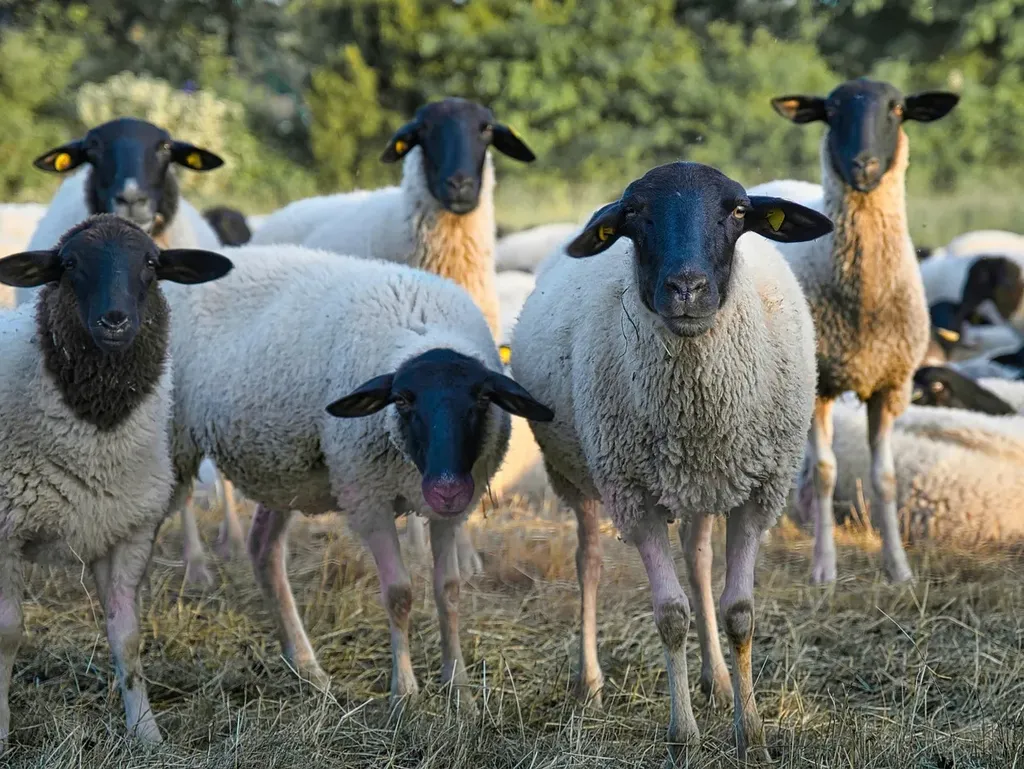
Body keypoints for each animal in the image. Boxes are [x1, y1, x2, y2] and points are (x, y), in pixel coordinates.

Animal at [0, 215, 231, 750]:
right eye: (68, 264)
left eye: (150, 262)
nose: (114, 320)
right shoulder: (6, 532)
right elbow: (8, 634)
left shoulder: (128, 530)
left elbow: (127, 636)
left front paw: (147, 733)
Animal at [160, 245, 553, 698]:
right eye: (401, 400)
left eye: (483, 398)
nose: (445, 488)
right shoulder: (368, 498)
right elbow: (399, 593)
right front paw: (405, 692)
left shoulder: (451, 510)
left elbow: (449, 590)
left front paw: (459, 687)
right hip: (173, 444)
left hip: (283, 471)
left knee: (263, 550)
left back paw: (305, 665)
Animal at [511, 161, 832, 762]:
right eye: (634, 213)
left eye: (738, 211)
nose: (687, 289)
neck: (696, 404)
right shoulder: (634, 498)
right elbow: (670, 616)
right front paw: (683, 735)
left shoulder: (760, 493)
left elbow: (739, 613)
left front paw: (751, 734)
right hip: (577, 475)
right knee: (588, 562)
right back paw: (590, 682)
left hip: (704, 484)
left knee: (699, 559)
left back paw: (718, 679)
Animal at [756, 78, 959, 584]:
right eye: (831, 111)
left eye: (898, 109)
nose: (863, 165)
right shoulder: (819, 385)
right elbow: (826, 472)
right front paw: (824, 568)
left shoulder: (890, 385)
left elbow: (884, 478)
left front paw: (899, 567)